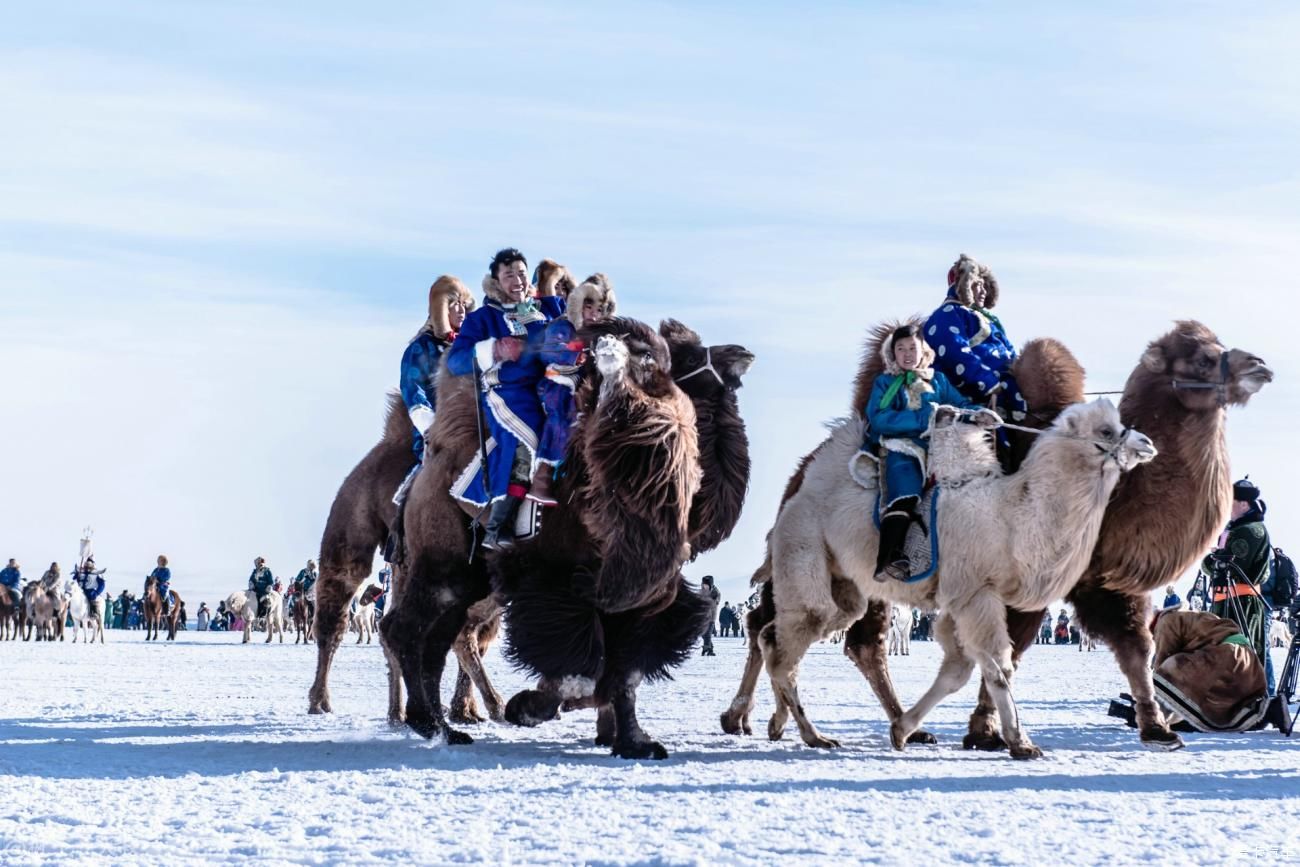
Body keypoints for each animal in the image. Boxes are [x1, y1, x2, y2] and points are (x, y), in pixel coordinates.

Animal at [722, 397, 1159, 753]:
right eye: (1106, 431)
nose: (1148, 444)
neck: (1011, 517)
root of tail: (792, 502)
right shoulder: (975, 594)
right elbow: (996, 668)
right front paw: (1021, 742)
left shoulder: (962, 602)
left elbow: (959, 671)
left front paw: (903, 729)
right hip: (805, 551)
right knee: (786, 645)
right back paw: (810, 734)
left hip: (842, 585)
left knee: (777, 636)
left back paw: (776, 724)